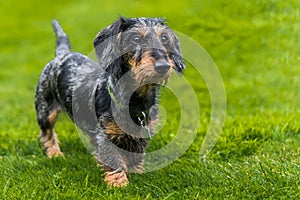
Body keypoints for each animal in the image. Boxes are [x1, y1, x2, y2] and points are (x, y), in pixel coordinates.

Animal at [35, 16, 185, 186]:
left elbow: (135, 155)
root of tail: (63, 54)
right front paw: (118, 184)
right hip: (45, 111)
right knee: (47, 134)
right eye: (135, 38)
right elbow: (113, 160)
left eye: (164, 38)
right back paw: (55, 154)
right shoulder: (106, 135)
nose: (163, 66)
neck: (136, 100)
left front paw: (136, 173)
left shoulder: (141, 132)